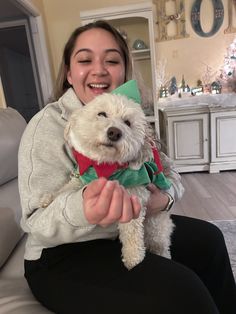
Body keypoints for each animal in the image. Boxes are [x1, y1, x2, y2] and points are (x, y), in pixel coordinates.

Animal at [41, 87, 174, 268]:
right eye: (102, 114)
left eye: (127, 123)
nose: (114, 132)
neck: (105, 165)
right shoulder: (81, 178)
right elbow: (65, 188)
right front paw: (49, 198)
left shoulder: (133, 199)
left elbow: (131, 231)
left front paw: (133, 257)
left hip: (157, 231)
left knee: (161, 247)